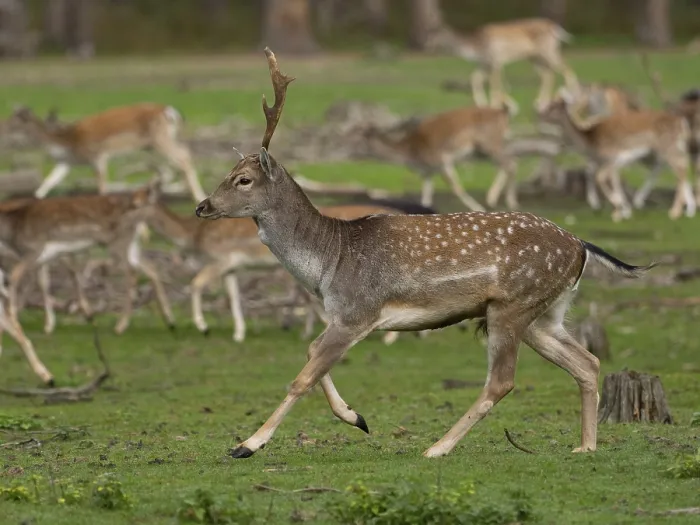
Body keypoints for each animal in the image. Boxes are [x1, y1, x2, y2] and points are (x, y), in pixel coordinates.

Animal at [8, 103, 207, 202]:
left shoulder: (98, 155)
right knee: (175, 161)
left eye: (16, 119)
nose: (5, 126)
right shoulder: (66, 162)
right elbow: (51, 180)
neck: (69, 142)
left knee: (183, 156)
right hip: (150, 145)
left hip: (159, 140)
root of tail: (170, 111)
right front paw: (35, 198)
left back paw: (198, 195)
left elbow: (101, 184)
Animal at [362, 103, 519, 212]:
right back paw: (493, 199)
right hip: (483, 149)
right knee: (506, 163)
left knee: (510, 163)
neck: (412, 154)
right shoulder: (427, 172)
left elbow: (456, 187)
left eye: (359, 135)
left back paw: (509, 202)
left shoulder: (442, 160)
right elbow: (426, 198)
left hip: (490, 143)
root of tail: (503, 113)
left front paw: (478, 208)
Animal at [426, 18, 580, 111]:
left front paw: (495, 106)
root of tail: (555, 28)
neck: (475, 48)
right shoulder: (485, 63)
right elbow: (474, 78)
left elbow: (495, 85)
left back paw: (572, 100)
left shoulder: (496, 60)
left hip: (548, 51)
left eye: (435, 34)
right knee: (548, 74)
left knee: (566, 69)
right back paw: (540, 104)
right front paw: (482, 104)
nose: (427, 45)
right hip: (535, 57)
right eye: (430, 32)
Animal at [538, 89, 695, 222]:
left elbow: (601, 178)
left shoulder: (614, 157)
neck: (590, 141)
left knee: (680, 170)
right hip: (659, 153)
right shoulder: (610, 162)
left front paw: (619, 209)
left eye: (554, 106)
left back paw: (675, 211)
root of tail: (682, 122)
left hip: (669, 148)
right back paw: (688, 209)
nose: (539, 114)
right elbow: (610, 179)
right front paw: (622, 211)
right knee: (673, 168)